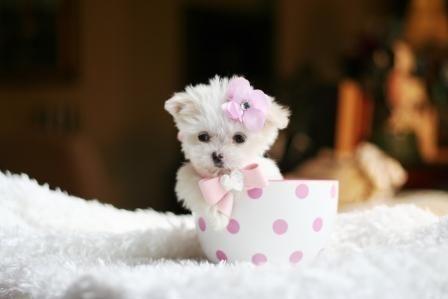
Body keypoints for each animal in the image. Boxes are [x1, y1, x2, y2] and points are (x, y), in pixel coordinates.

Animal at [165, 75, 290, 227]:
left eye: (239, 138)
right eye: (203, 136)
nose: (217, 155)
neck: (222, 174)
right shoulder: (188, 176)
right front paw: (217, 214)